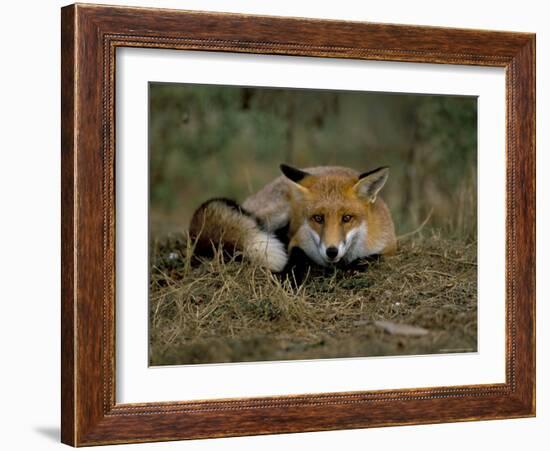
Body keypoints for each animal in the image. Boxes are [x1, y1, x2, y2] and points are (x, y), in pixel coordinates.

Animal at [190, 165, 396, 274]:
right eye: (318, 218)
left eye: (347, 218)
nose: (331, 251)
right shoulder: (298, 241)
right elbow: (297, 257)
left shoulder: (388, 247)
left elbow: (370, 259)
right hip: (277, 215)